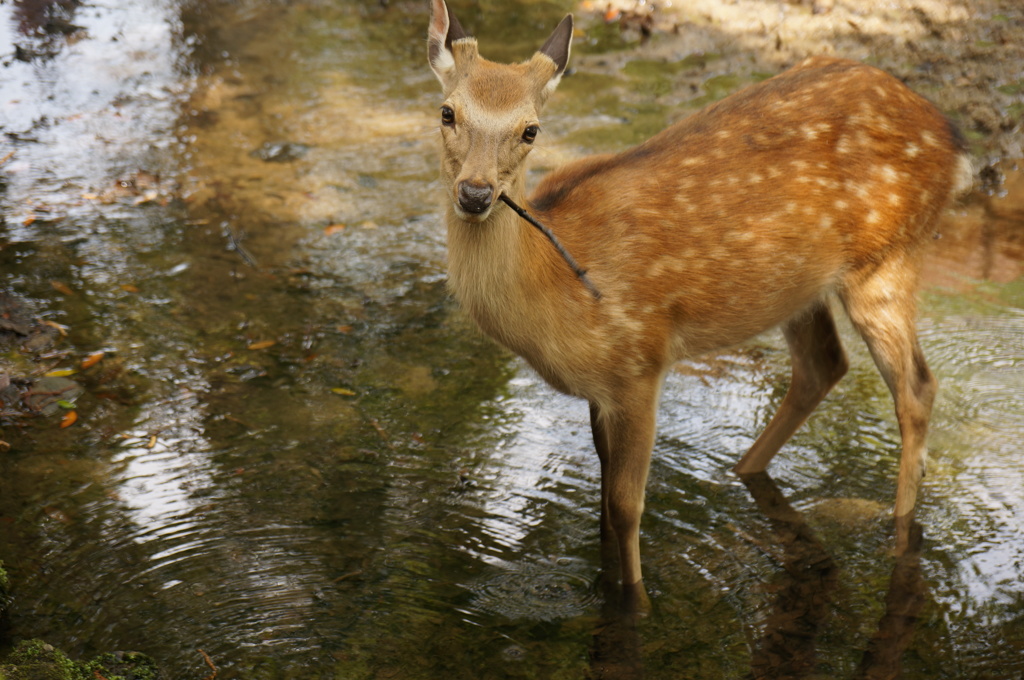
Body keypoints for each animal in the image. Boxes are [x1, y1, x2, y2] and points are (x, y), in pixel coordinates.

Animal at [428, 0, 970, 606]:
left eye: (530, 129)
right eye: (447, 112)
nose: (475, 193)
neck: (556, 290)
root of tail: (954, 141)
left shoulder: (641, 360)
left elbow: (625, 506)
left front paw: (637, 604)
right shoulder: (601, 387)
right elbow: (600, 497)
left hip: (885, 258)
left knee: (916, 389)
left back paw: (899, 541)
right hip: (795, 288)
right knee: (823, 365)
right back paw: (746, 476)